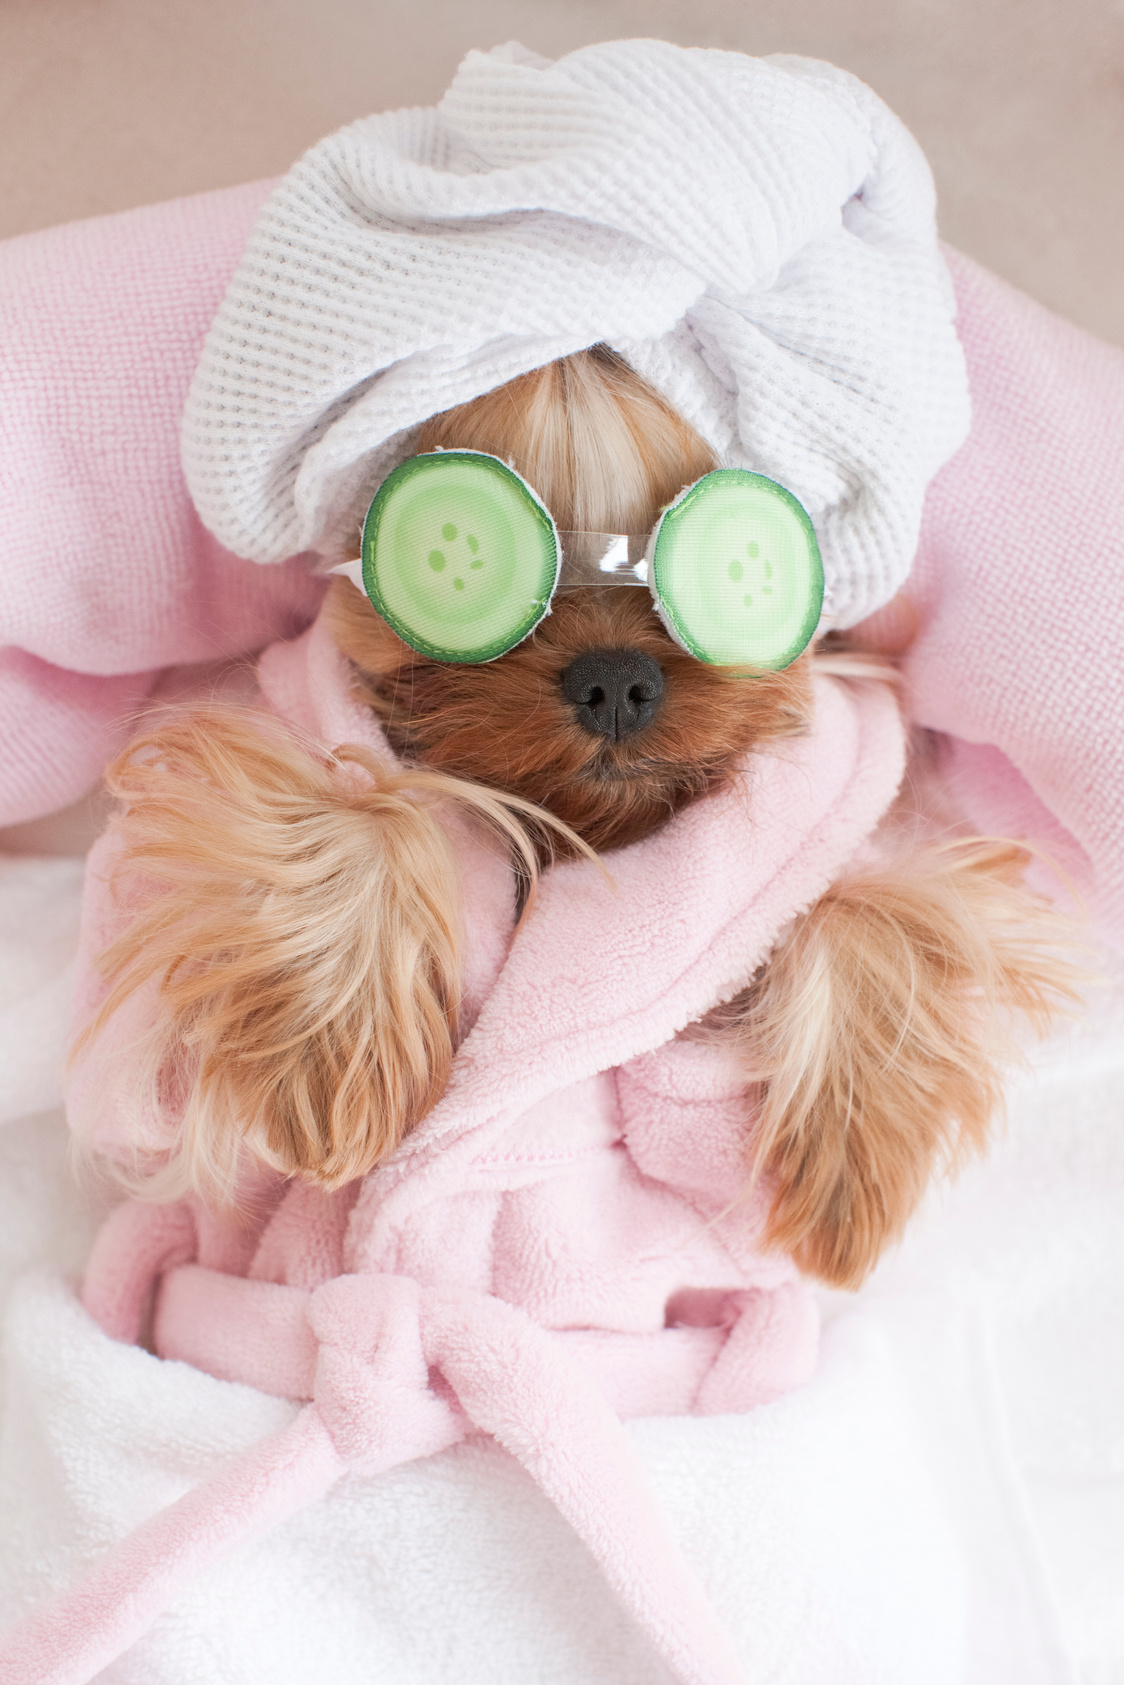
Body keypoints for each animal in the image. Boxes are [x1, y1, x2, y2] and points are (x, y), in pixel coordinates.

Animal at [85, 342, 1071, 1287]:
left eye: (734, 571)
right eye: (461, 559)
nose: (615, 682)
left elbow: (866, 907)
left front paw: (849, 1158)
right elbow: (353, 804)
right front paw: (336, 1042)